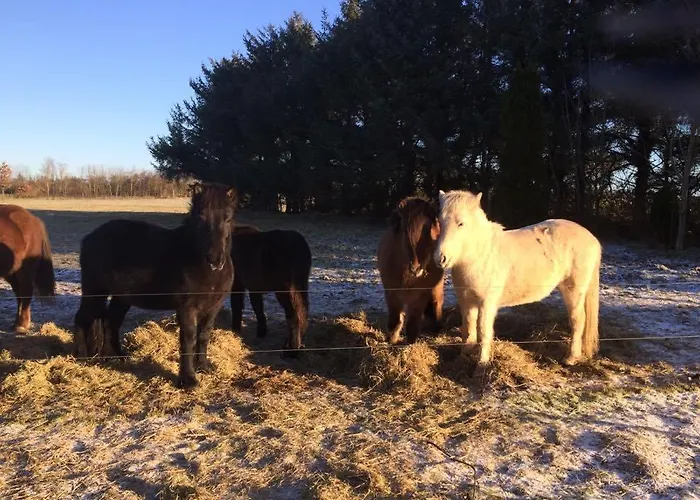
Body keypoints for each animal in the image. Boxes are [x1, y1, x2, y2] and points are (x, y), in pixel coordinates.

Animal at [73, 182, 237, 389]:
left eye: (228, 218)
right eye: (201, 218)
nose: (215, 260)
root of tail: (90, 238)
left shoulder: (213, 307)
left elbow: (204, 335)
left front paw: (203, 367)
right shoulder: (186, 308)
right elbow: (188, 339)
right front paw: (188, 380)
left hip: (122, 297)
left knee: (111, 322)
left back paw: (117, 358)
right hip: (95, 291)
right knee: (82, 319)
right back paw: (82, 358)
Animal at [230, 225, 311, 353]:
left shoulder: (237, 284)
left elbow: (237, 306)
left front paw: (235, 331)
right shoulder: (254, 286)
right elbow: (258, 307)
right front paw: (261, 331)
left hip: (285, 290)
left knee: (294, 316)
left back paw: (291, 350)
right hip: (300, 286)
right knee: (303, 312)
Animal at [377, 196, 444, 344]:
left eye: (427, 230)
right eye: (404, 230)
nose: (416, 268)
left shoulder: (420, 297)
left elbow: (412, 324)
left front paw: (410, 344)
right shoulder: (391, 293)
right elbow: (395, 321)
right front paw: (391, 340)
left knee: (436, 304)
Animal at [434, 189, 602, 376]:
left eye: (461, 223)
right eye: (439, 222)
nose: (441, 258)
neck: (479, 255)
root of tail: (592, 239)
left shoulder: (487, 304)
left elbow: (484, 331)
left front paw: (481, 366)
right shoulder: (467, 302)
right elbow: (468, 330)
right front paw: (463, 358)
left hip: (573, 291)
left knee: (578, 320)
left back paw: (571, 358)